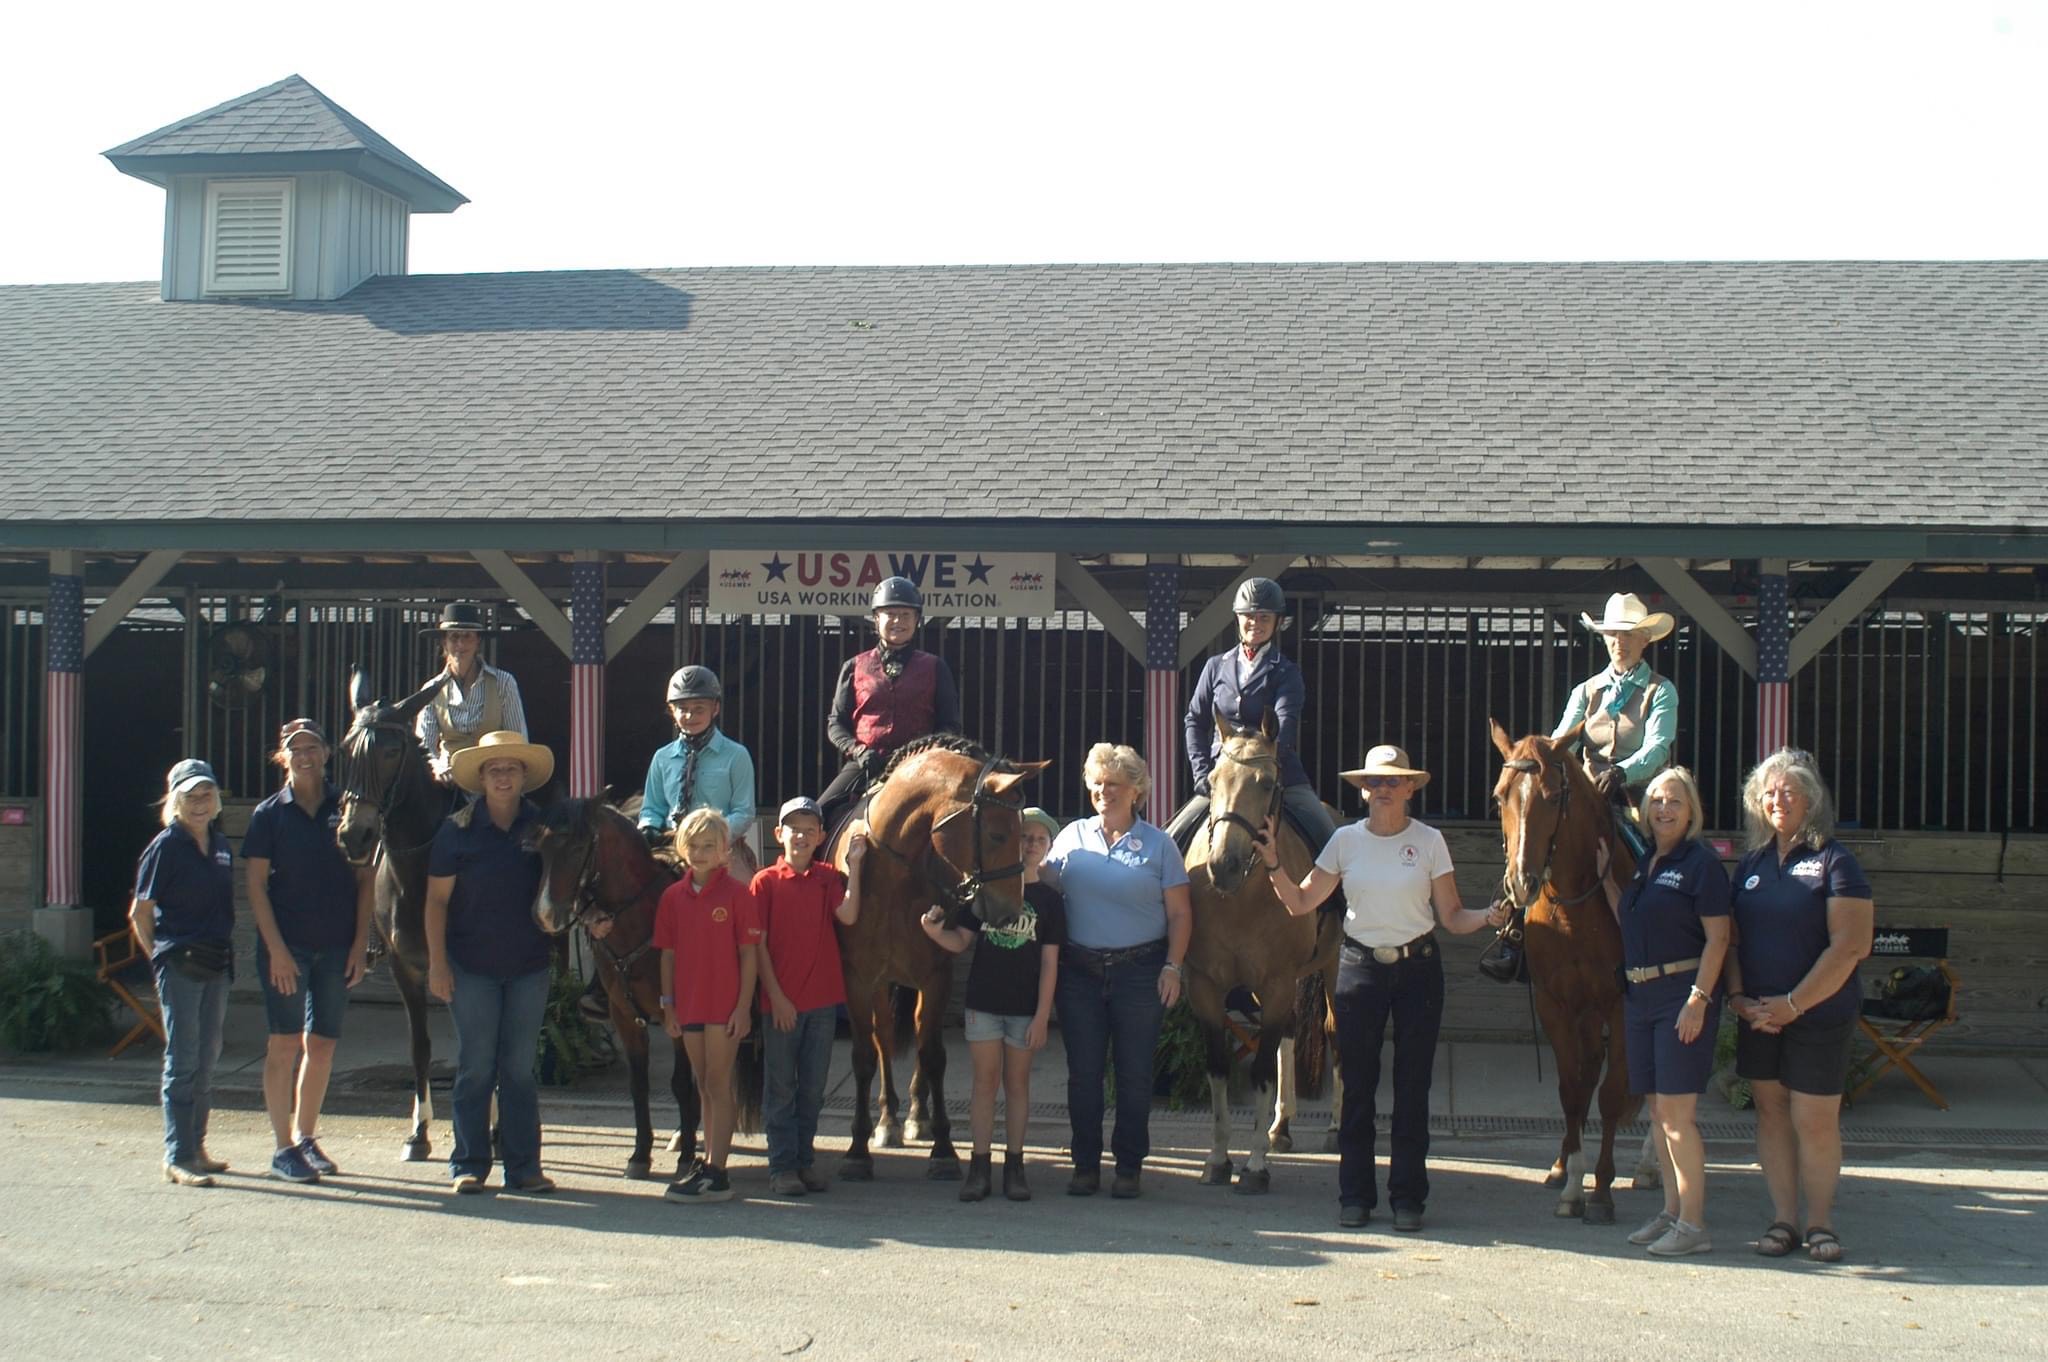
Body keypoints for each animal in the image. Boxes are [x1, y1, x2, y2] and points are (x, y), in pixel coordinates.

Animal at [528, 798, 704, 1179]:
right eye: (542, 846)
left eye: (577, 846)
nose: (545, 915)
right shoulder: (625, 1016)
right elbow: (639, 1085)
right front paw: (640, 1154)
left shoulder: (678, 1018)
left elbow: (681, 1083)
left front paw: (685, 1157)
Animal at [823, 733, 1048, 1179]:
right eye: (997, 835)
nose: (1008, 912)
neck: (893, 872)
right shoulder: (857, 976)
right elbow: (863, 1054)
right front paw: (857, 1149)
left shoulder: (936, 975)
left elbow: (932, 1055)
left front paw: (943, 1148)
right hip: (881, 982)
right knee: (883, 1036)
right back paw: (887, 1119)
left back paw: (915, 1115)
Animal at [1187, 712, 1343, 1187]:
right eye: (1212, 779)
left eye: (1267, 782)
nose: (1223, 865)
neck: (1240, 898)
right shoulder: (1205, 986)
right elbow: (1219, 1067)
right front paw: (1219, 1158)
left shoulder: (1276, 983)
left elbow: (1258, 1072)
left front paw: (1255, 1164)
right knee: (1288, 1034)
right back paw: (1282, 1127)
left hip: (1331, 964)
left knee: (1334, 1033)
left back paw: (1334, 1128)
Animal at [1490, 716, 1646, 1228]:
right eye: (1500, 795)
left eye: (1553, 796)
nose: (1521, 883)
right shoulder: (1555, 1003)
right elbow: (1571, 1090)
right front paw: (1573, 1185)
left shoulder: (1620, 1006)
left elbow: (1613, 1094)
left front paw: (1600, 1193)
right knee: (1587, 1072)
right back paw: (1560, 1166)